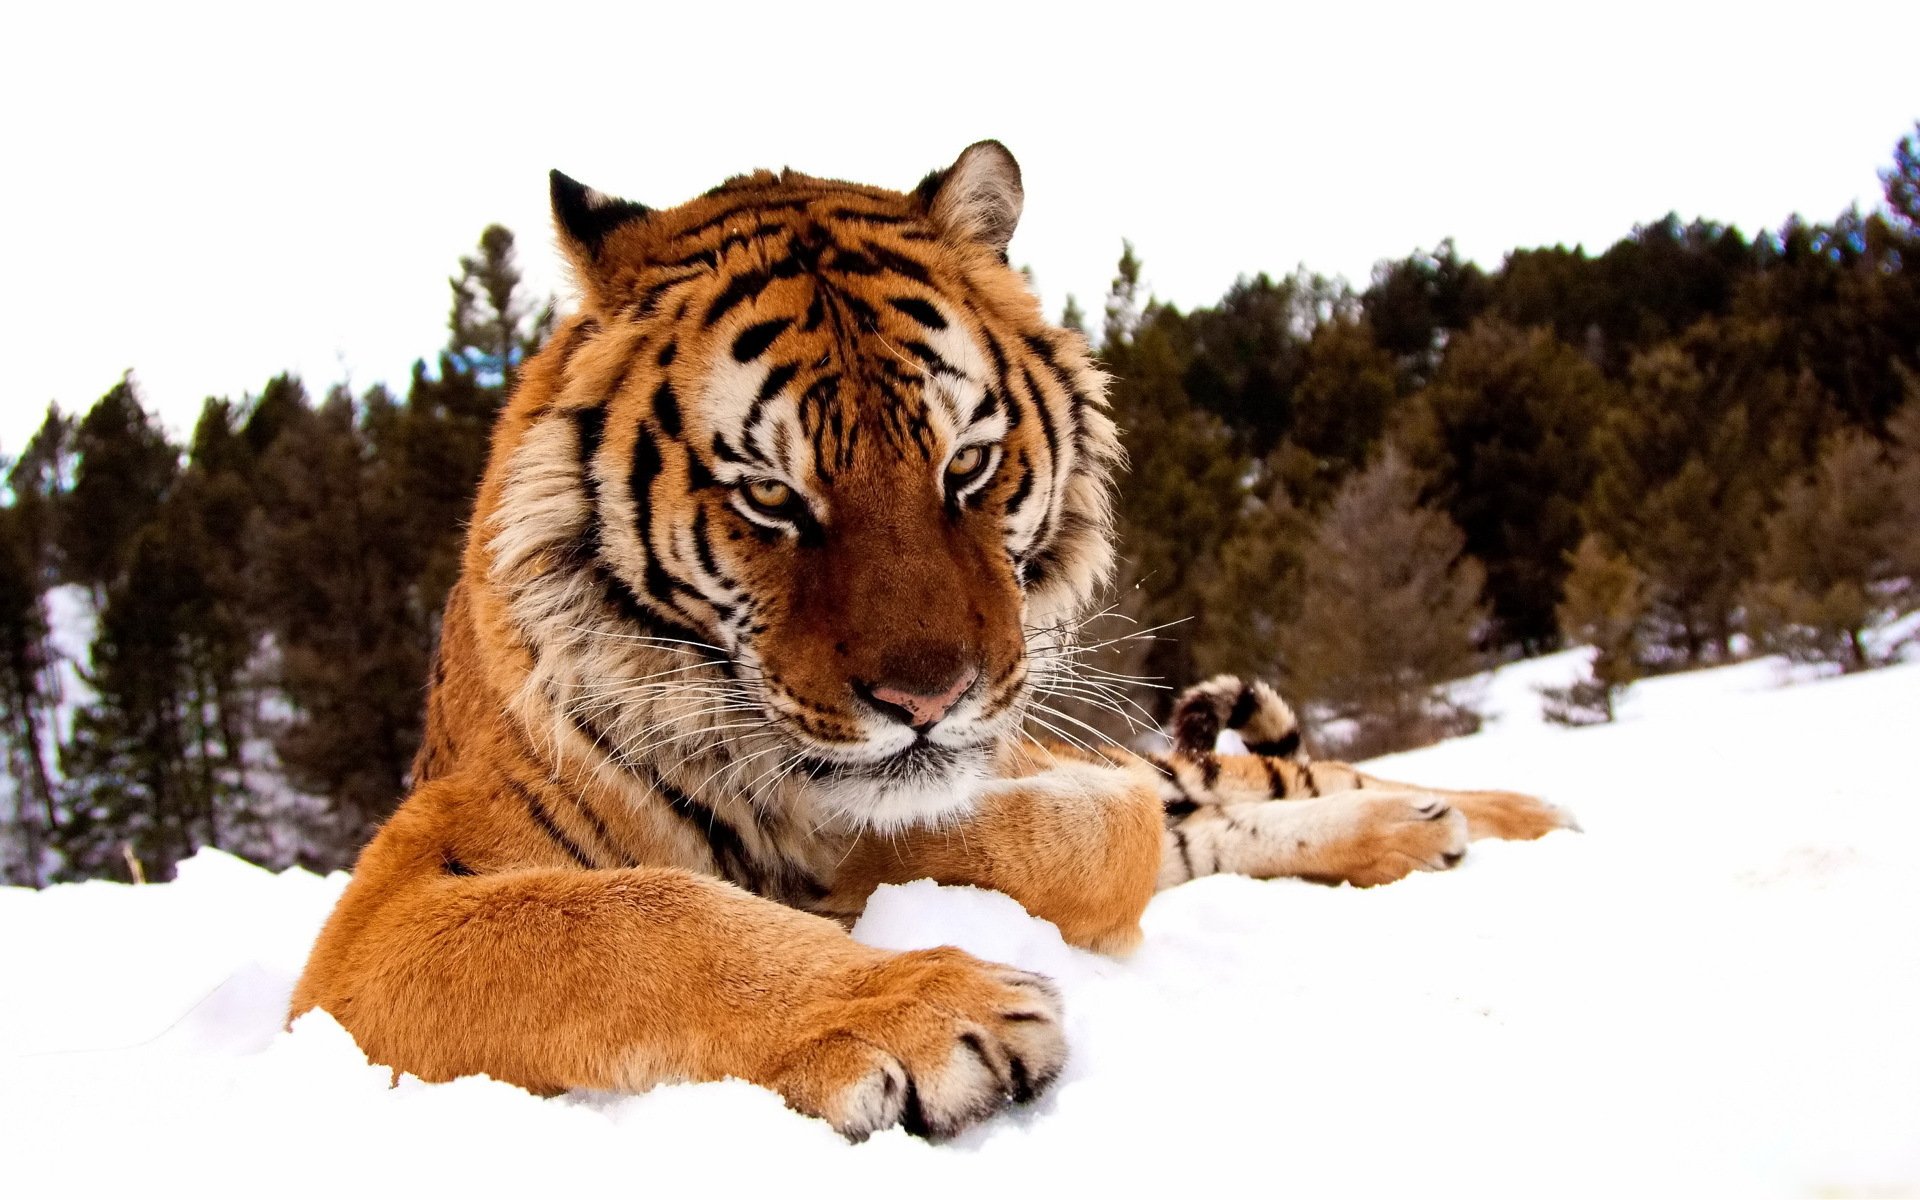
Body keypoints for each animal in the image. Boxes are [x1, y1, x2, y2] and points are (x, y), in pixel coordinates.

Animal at [290, 142, 1574, 1142]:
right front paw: (926, 1007)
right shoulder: (383, 915)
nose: (928, 698)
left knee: (1284, 781)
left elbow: (1077, 830)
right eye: (771, 498)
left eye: (967, 465)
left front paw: (868, 873)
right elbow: (633, 921)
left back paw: (1501, 816)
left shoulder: (1044, 770)